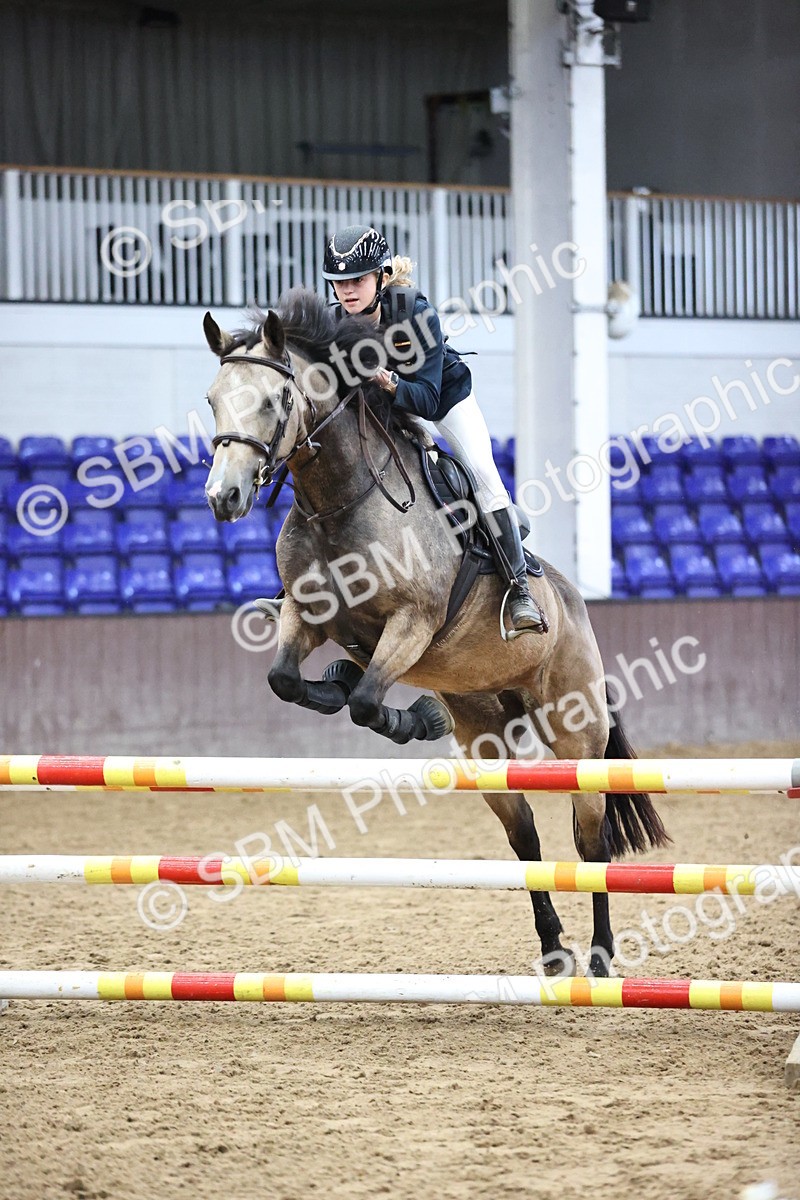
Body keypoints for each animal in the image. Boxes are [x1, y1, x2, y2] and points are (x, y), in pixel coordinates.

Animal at [202, 287, 669, 979]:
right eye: (212, 398)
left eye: (273, 400)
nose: (223, 497)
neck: (340, 498)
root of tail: (574, 608)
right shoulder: (305, 616)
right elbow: (287, 679)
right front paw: (344, 682)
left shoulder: (413, 621)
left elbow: (370, 702)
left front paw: (412, 716)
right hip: (485, 736)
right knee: (525, 837)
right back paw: (554, 949)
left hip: (575, 734)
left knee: (592, 844)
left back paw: (601, 956)